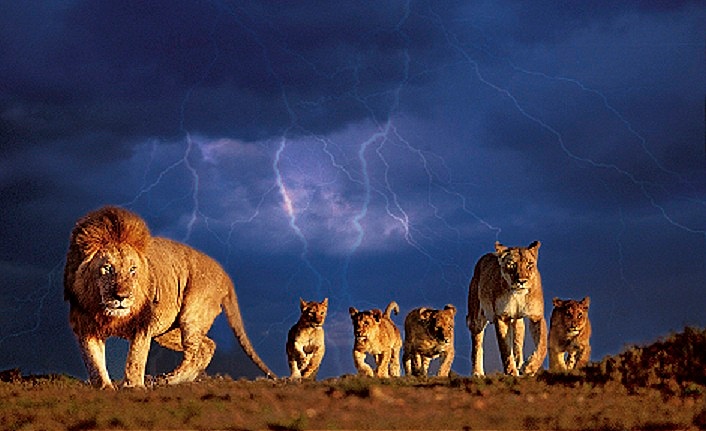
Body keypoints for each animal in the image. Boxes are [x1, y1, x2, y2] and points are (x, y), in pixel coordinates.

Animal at [64, 206, 277, 389]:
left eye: (133, 270)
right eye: (107, 268)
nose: (122, 297)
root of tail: (225, 276)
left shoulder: (143, 324)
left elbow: (135, 358)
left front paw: (133, 387)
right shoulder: (85, 324)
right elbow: (93, 361)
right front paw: (105, 388)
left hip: (192, 314)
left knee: (193, 352)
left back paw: (168, 380)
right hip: (166, 330)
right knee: (207, 345)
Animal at [466, 241, 547, 376]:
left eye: (529, 264)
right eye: (512, 265)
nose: (522, 281)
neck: (518, 295)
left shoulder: (536, 316)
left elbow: (542, 344)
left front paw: (529, 368)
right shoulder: (501, 317)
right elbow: (504, 348)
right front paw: (511, 372)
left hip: (518, 322)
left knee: (517, 343)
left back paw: (520, 364)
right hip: (476, 318)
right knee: (477, 344)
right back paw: (477, 372)